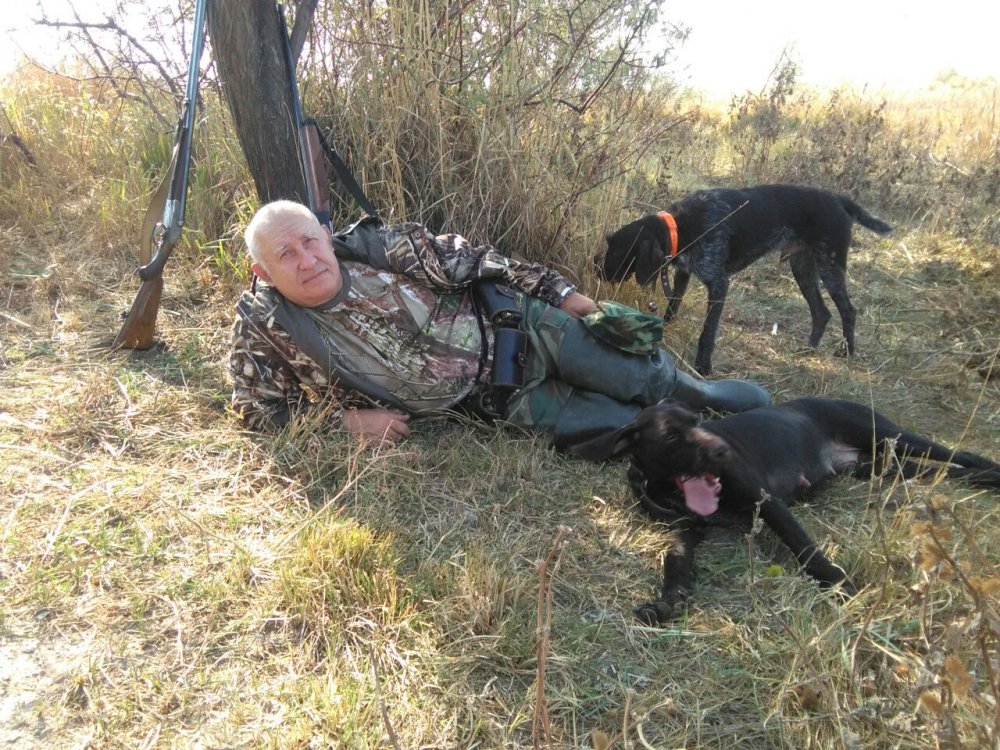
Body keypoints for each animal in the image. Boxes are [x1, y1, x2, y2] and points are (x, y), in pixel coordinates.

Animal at [572, 398, 1000, 624]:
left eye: (699, 420)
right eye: (673, 436)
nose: (723, 452)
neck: (668, 487)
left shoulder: (768, 503)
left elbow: (805, 547)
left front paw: (842, 586)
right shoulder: (682, 531)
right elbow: (674, 567)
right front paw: (666, 603)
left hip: (889, 436)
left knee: (958, 455)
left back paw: (991, 470)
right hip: (886, 466)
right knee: (945, 469)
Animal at [597, 184, 893, 375]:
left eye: (617, 251)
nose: (596, 268)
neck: (682, 225)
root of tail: (839, 199)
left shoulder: (718, 284)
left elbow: (707, 333)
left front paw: (703, 367)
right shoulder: (684, 273)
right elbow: (672, 307)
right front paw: (664, 329)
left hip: (829, 267)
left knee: (848, 310)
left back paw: (847, 351)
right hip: (802, 268)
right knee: (822, 312)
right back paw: (806, 351)